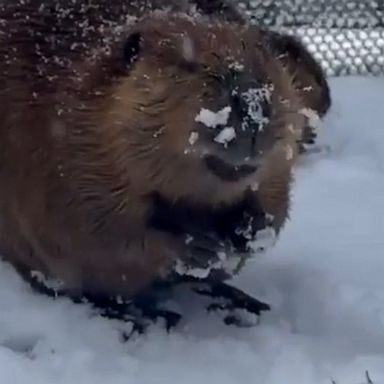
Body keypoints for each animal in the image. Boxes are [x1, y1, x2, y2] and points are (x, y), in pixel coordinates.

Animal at [0, 0, 306, 328]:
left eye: (265, 60)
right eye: (187, 64)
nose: (252, 104)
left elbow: (275, 199)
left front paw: (250, 230)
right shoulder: (57, 153)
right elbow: (97, 232)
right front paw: (198, 248)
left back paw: (244, 303)